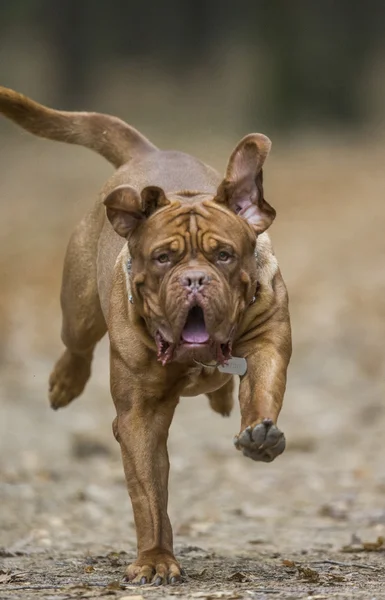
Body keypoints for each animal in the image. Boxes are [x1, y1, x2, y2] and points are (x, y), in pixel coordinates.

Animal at [0, 88, 290, 584]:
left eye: (224, 255)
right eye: (162, 258)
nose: (194, 279)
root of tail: (148, 151)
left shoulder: (268, 343)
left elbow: (262, 390)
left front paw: (260, 435)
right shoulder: (140, 416)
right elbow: (148, 495)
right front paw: (155, 557)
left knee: (221, 385)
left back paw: (221, 398)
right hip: (79, 310)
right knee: (76, 346)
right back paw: (64, 383)